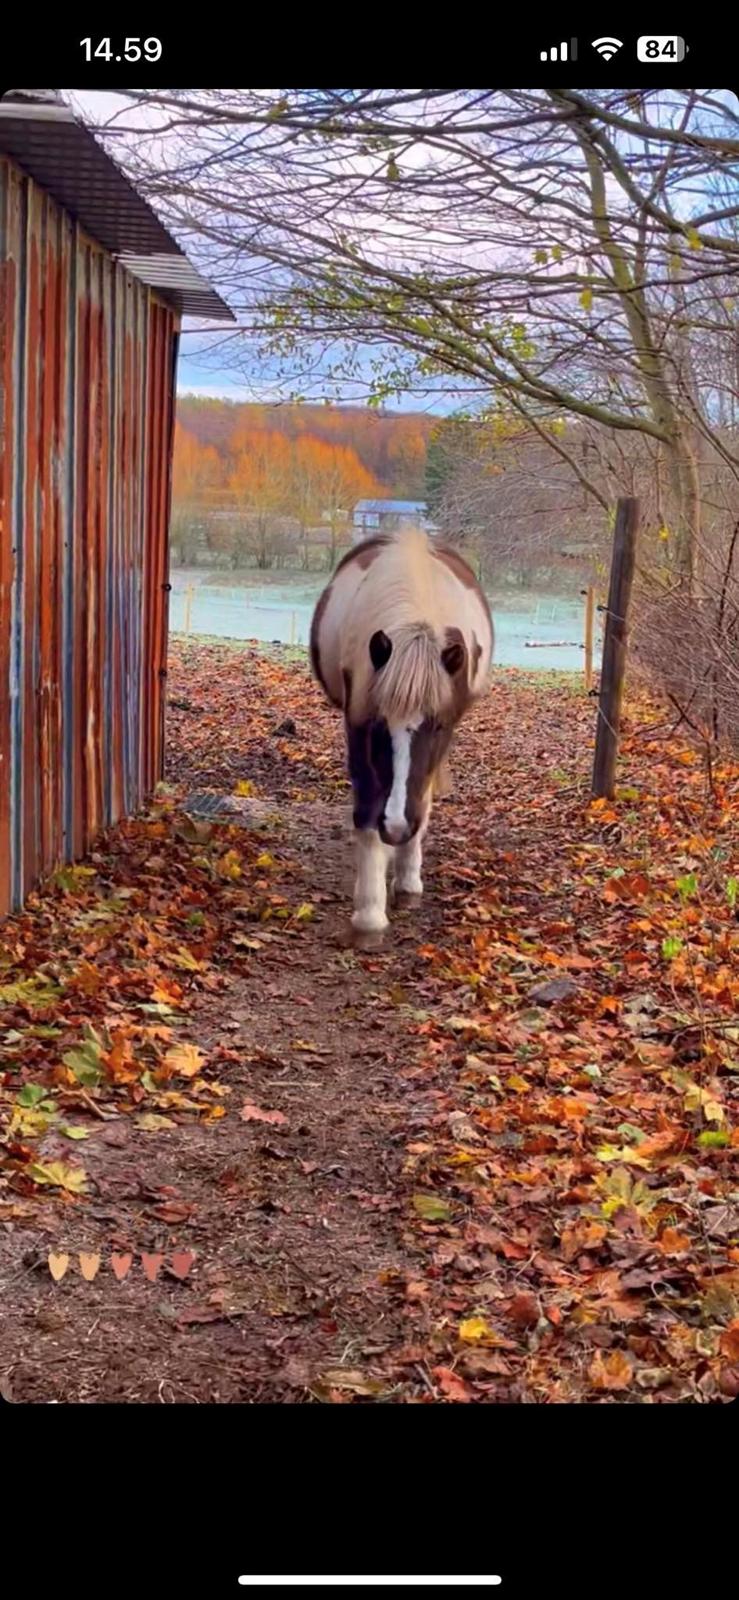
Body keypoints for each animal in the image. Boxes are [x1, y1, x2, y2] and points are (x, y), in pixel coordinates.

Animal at [308, 531, 492, 940]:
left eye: (437, 725)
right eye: (380, 724)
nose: (395, 826)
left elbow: (420, 803)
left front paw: (406, 879)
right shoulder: (357, 724)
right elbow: (366, 813)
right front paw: (369, 913)